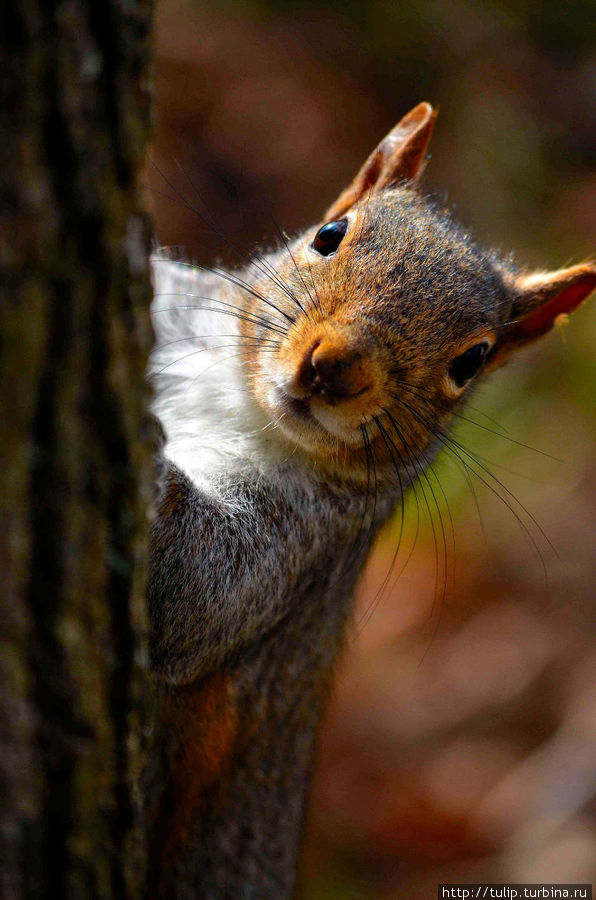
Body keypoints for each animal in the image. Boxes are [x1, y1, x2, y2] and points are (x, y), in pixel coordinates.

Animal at [146, 102, 596, 896]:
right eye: (330, 234)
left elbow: (196, 596)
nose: (333, 367)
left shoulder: (304, 544)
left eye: (472, 360)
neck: (240, 401)